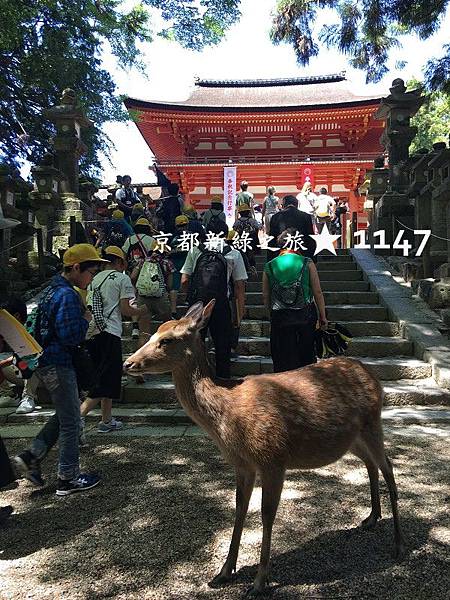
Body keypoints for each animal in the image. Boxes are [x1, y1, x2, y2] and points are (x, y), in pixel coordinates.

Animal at [123, 300, 404, 596]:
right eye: (153, 333)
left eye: (166, 339)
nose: (127, 362)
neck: (227, 418)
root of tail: (373, 376)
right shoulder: (242, 464)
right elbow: (239, 509)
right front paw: (224, 572)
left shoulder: (273, 458)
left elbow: (267, 515)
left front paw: (259, 582)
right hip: (352, 439)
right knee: (371, 464)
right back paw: (371, 517)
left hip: (372, 423)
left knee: (388, 467)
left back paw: (398, 544)